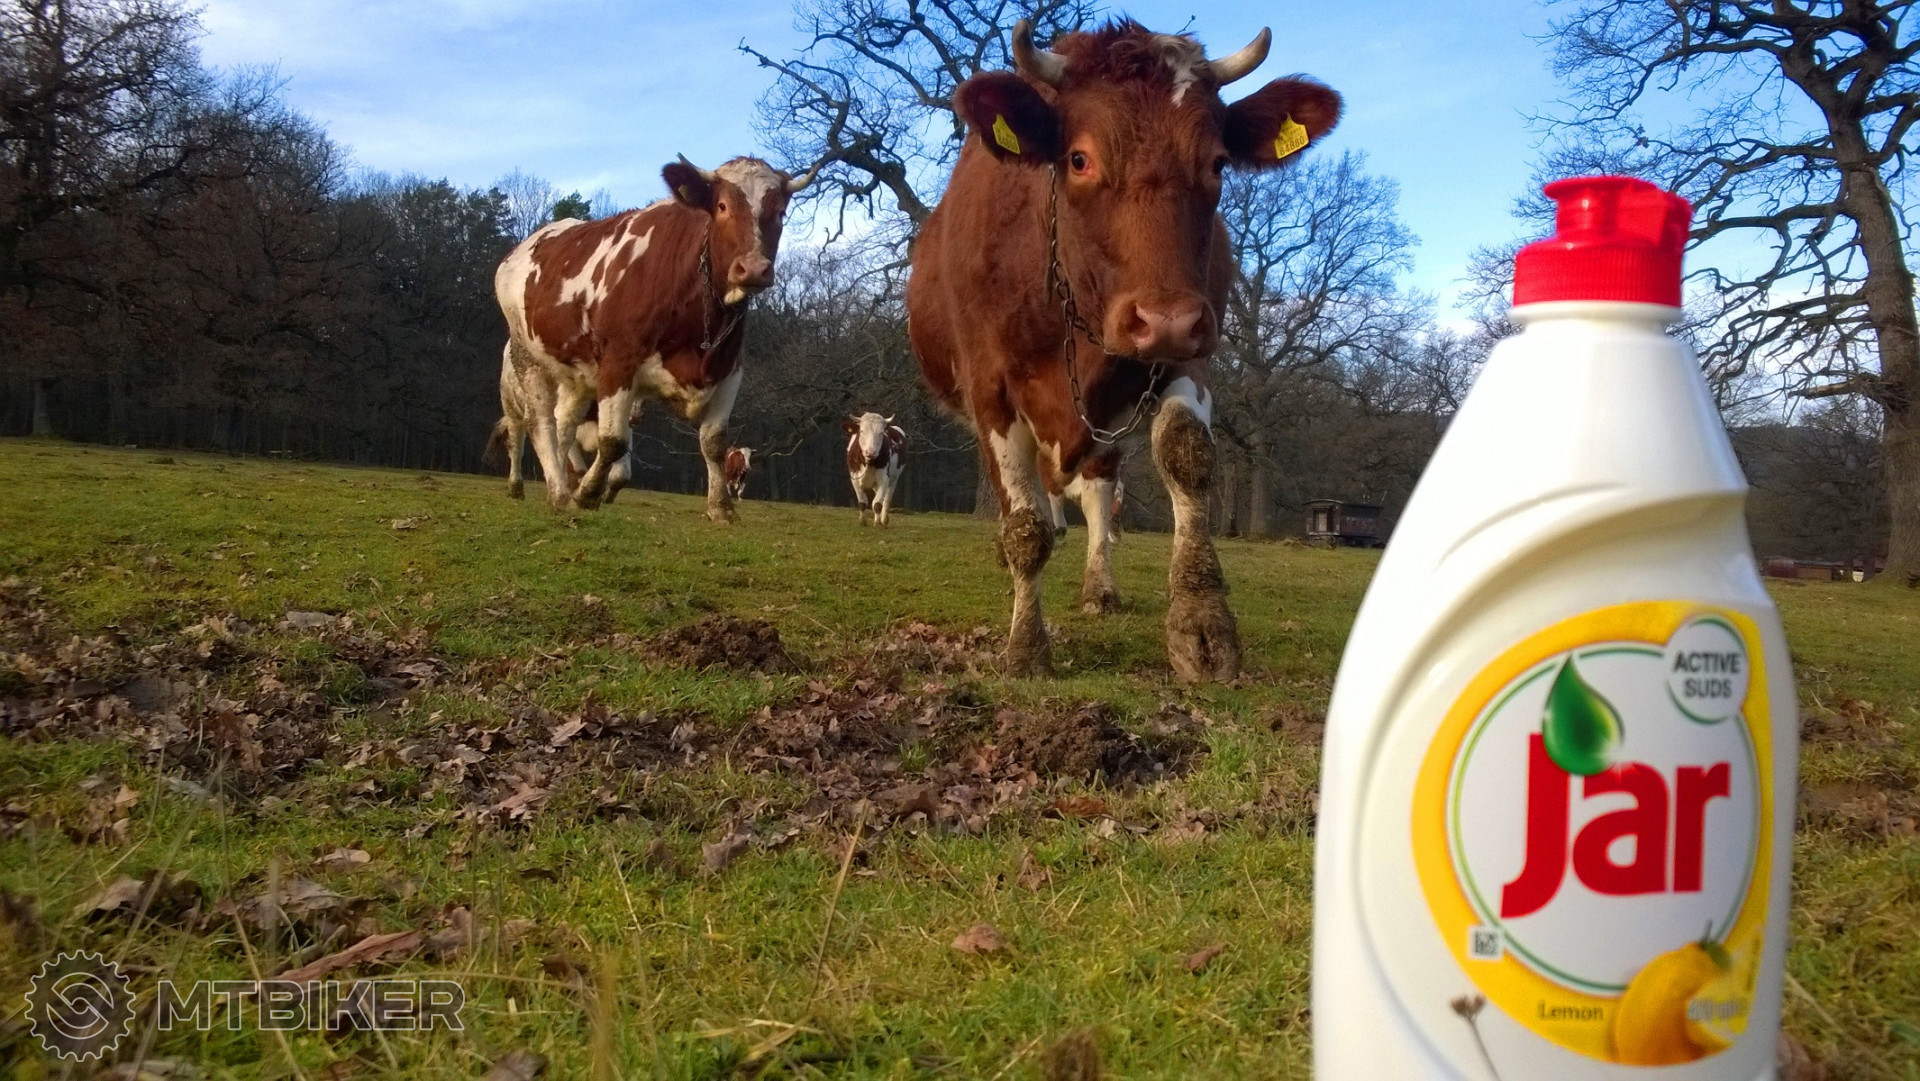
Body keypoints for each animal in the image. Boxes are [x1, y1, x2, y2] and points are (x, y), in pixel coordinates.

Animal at [493, 154, 814, 516]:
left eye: (780, 212)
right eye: (721, 206)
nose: (755, 268)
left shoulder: (730, 369)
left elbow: (714, 442)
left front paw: (721, 507)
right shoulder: (618, 364)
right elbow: (613, 442)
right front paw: (587, 493)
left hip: (576, 375)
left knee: (564, 424)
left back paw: (558, 487)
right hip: (528, 360)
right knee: (539, 425)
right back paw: (559, 491)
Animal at [906, 19, 1340, 680]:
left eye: (1218, 163)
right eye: (1079, 159)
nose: (1164, 319)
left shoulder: (1189, 354)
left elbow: (1186, 457)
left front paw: (1202, 625)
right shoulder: (989, 386)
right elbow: (1026, 524)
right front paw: (1026, 646)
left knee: (1098, 494)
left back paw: (1099, 588)